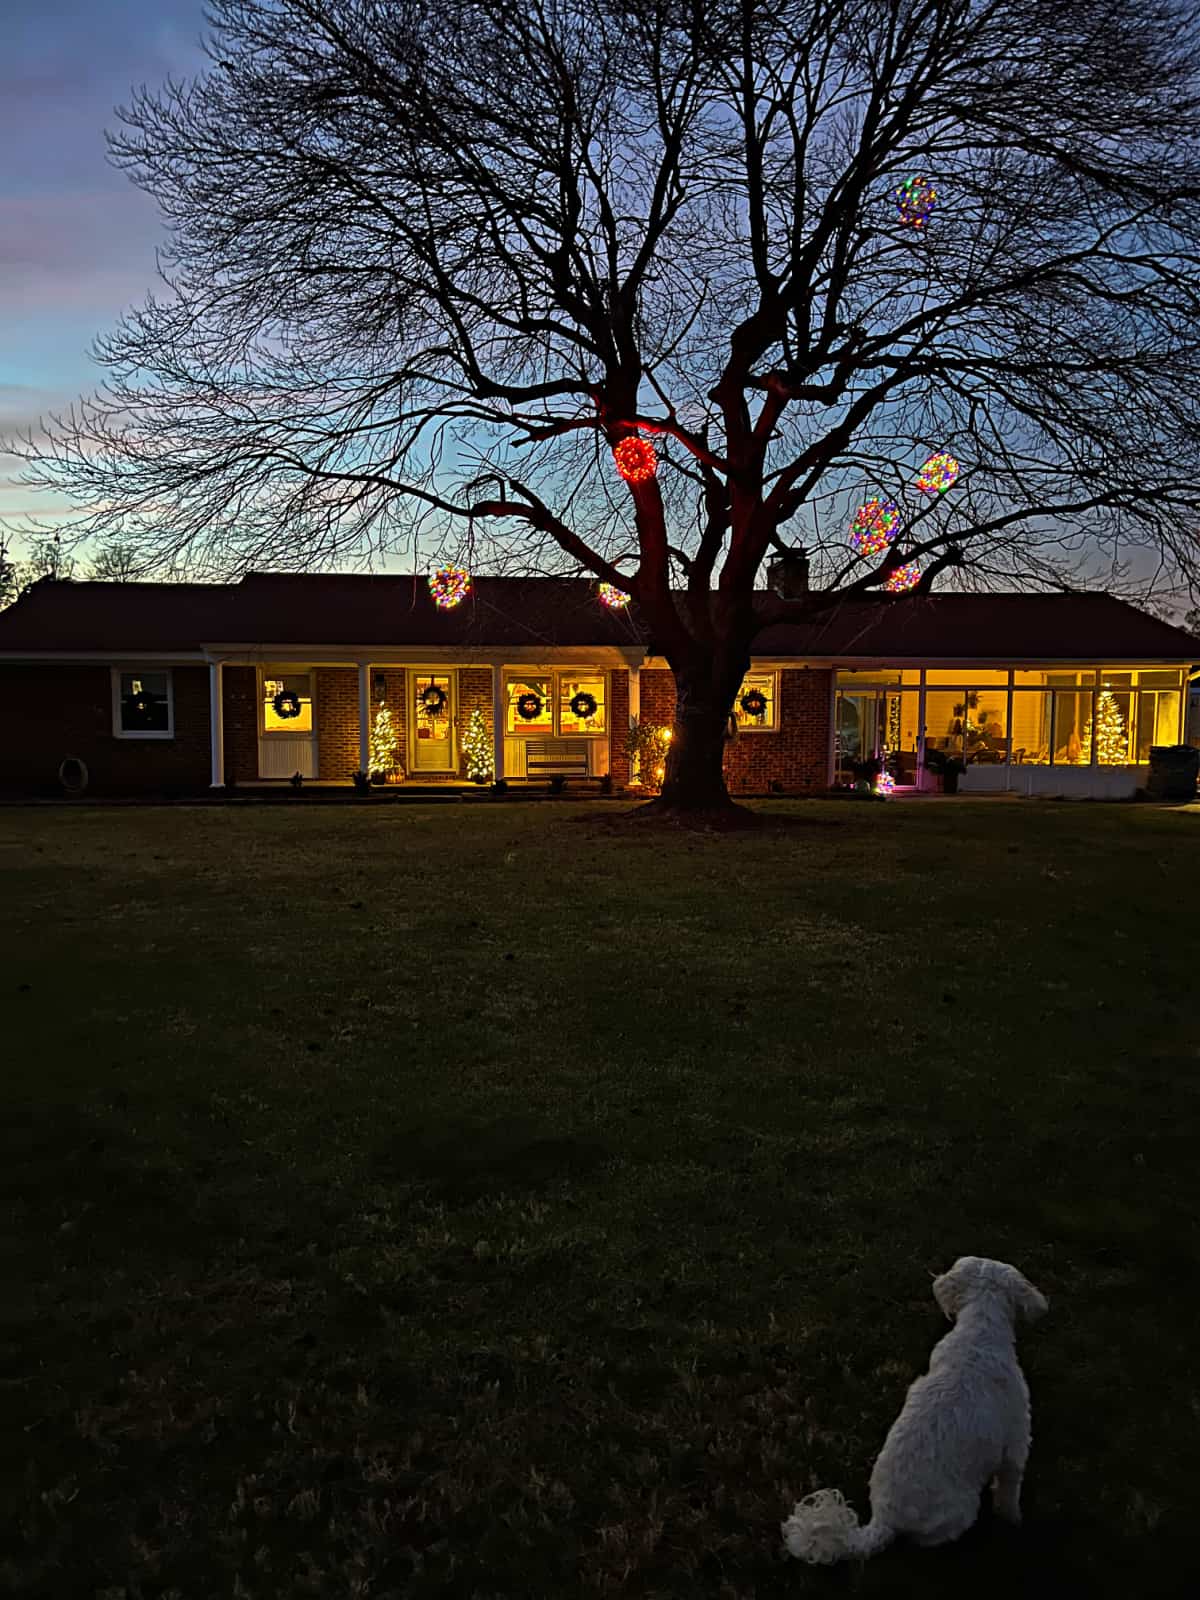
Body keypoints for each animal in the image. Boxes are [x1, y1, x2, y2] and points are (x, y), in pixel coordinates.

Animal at [784, 1248, 1049, 1561]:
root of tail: (884, 1520)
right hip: (961, 1509)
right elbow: (1009, 1489)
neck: (978, 1333)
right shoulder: (1016, 1440)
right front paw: (1014, 1519)